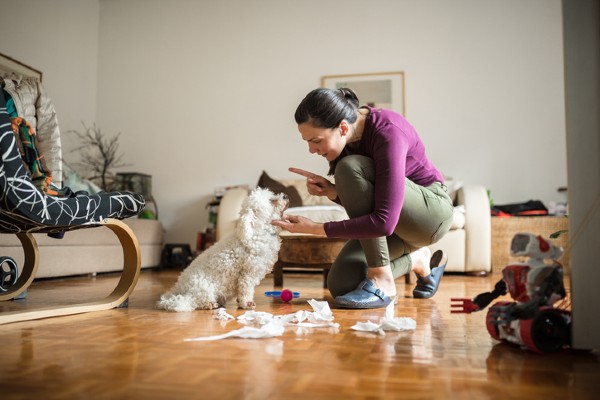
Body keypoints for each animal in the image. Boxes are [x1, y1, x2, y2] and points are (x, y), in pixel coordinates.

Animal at [157, 188, 288, 312]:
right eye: (272, 200)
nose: (286, 196)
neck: (257, 232)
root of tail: (179, 288)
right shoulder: (248, 273)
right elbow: (246, 290)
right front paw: (246, 303)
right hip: (202, 287)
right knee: (195, 301)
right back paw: (209, 304)